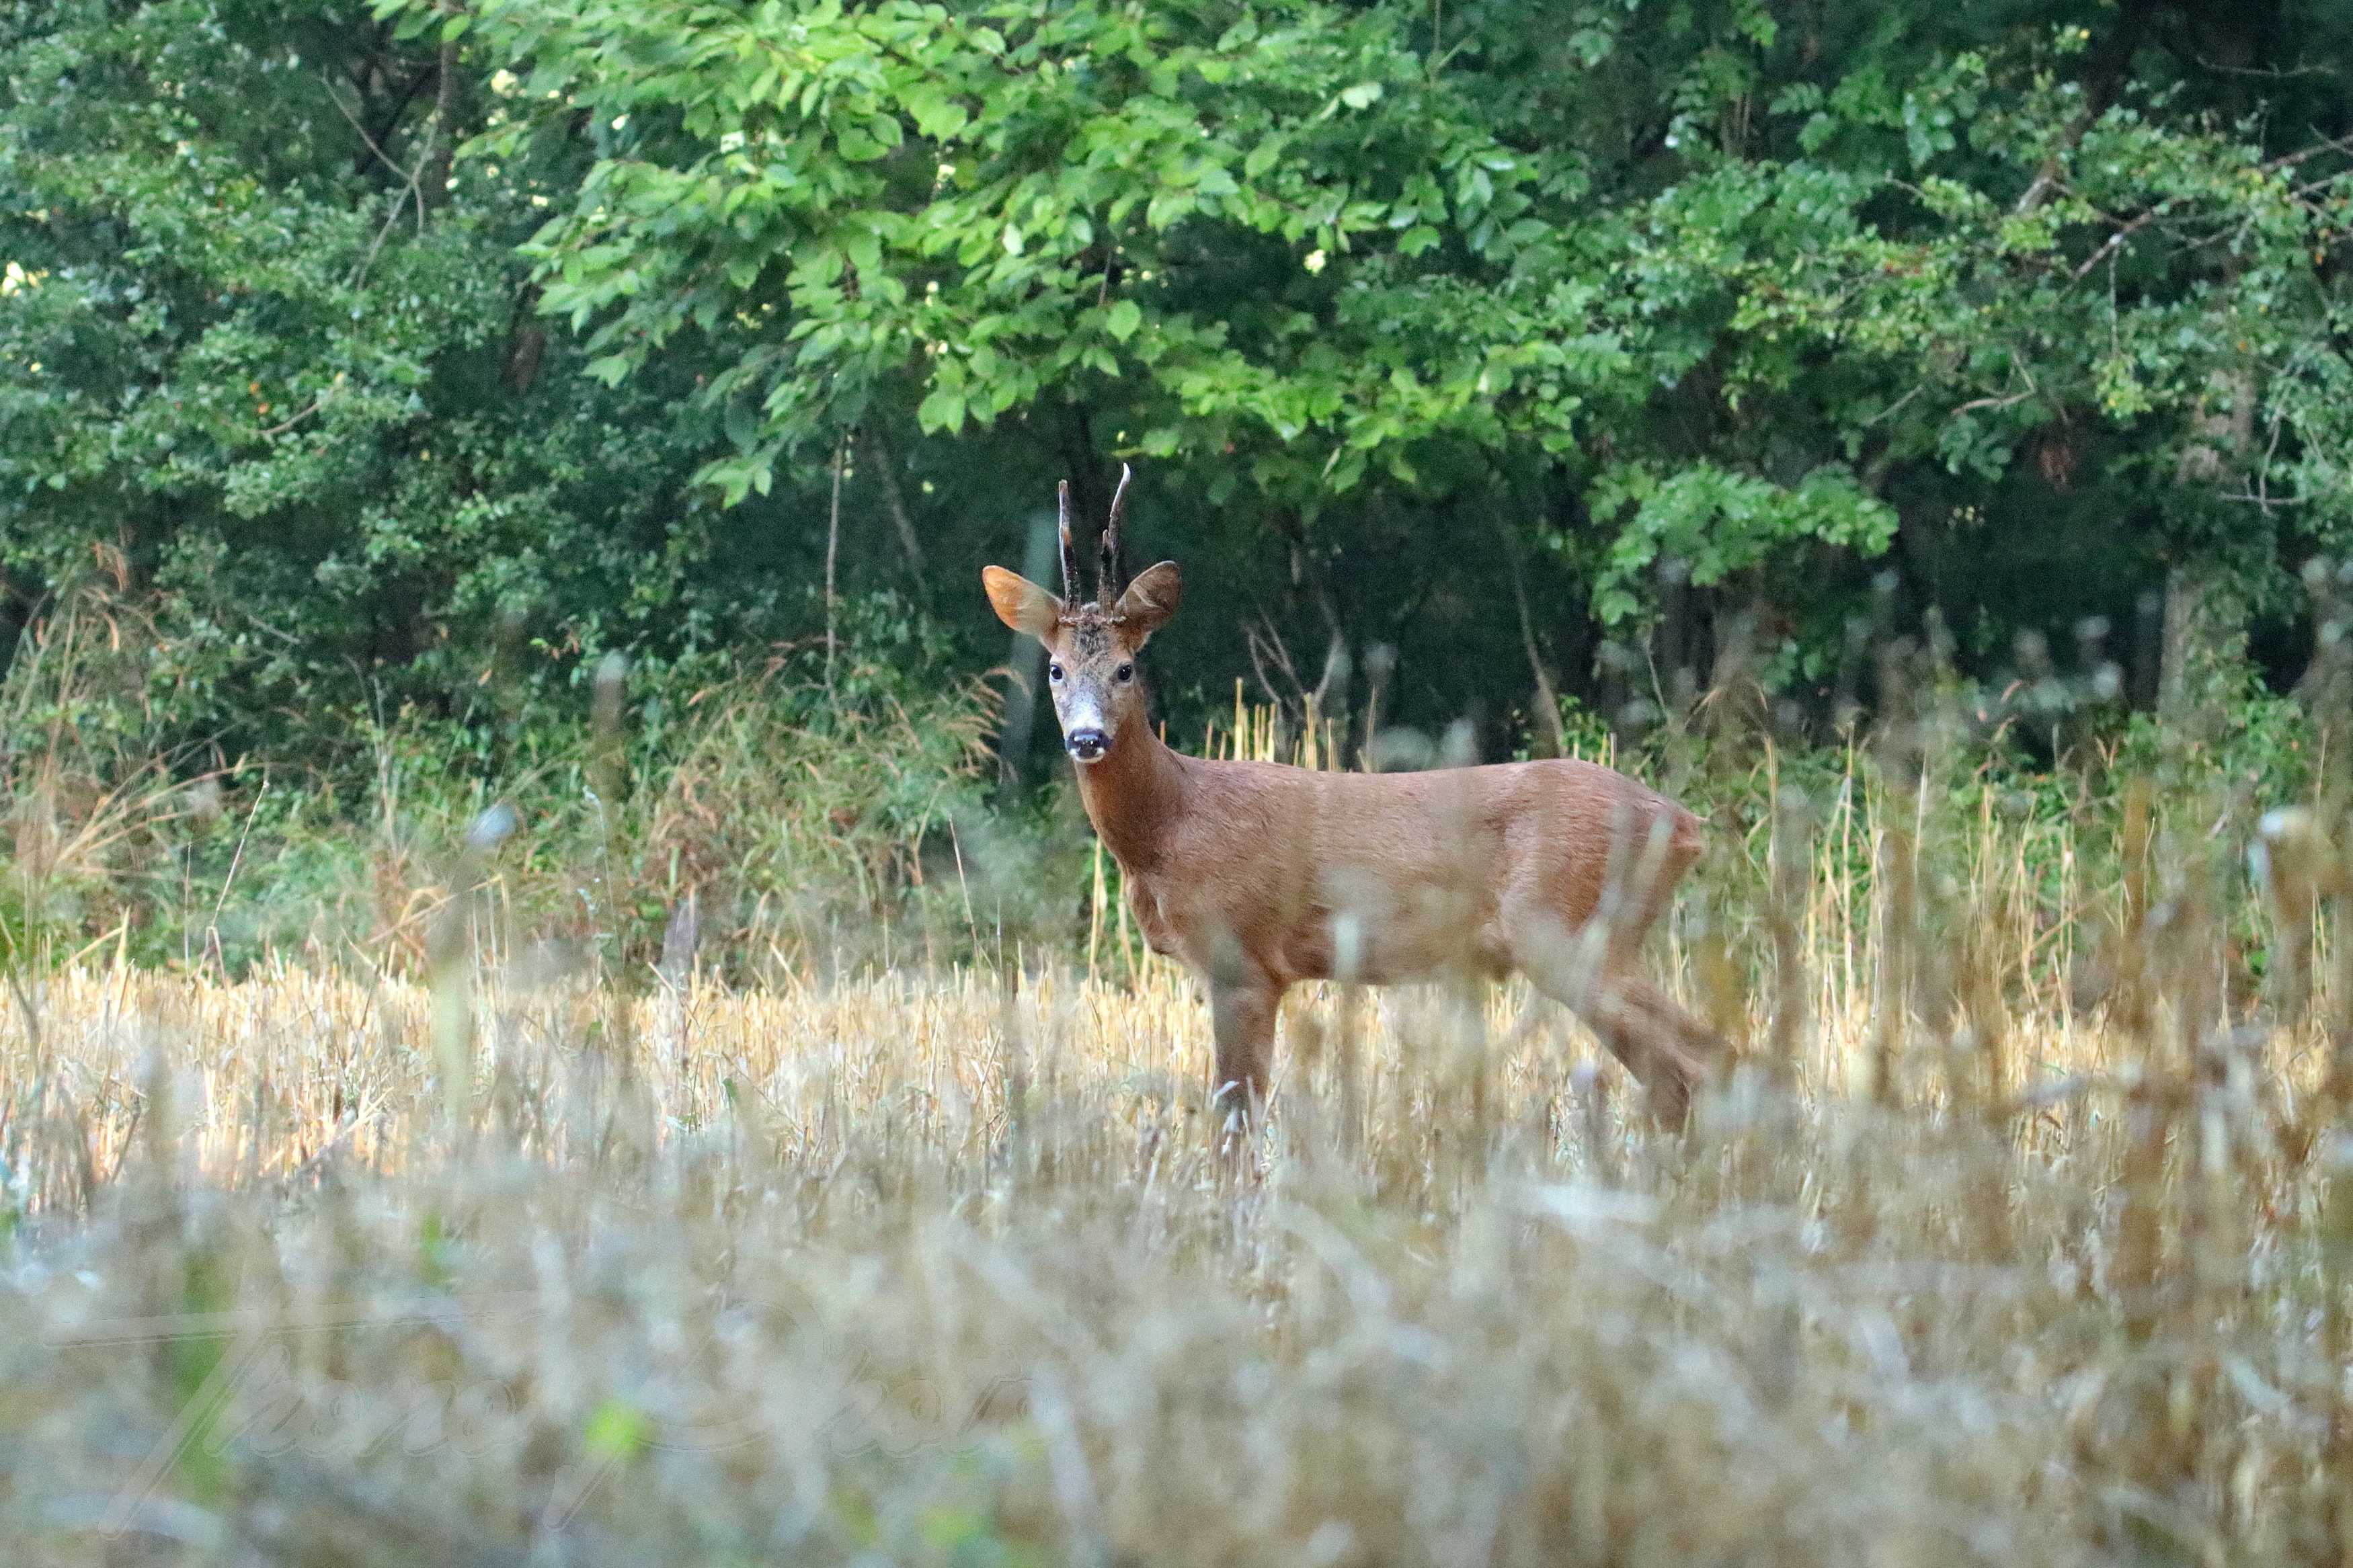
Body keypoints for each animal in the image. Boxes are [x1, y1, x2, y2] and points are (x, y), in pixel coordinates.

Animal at [984, 465, 1722, 1128]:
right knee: (1685, 1074)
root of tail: (1685, 823)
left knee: (1703, 1063)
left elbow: (1235, 1122)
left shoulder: (1243, 959)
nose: (1086, 737)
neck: (1172, 822)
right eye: (1055, 669)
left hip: (1572, 931)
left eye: (1125, 667)